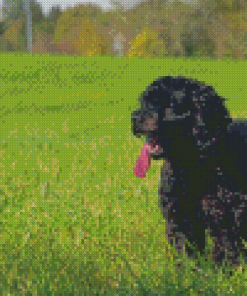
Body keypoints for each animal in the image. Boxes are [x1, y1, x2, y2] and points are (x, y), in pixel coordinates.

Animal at [132, 75, 247, 268]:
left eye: (169, 103)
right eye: (144, 101)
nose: (135, 117)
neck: (192, 166)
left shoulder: (225, 217)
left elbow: (226, 248)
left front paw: (223, 272)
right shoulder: (181, 216)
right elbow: (185, 249)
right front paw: (188, 272)